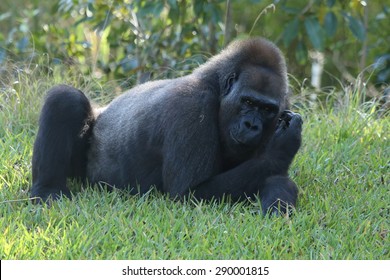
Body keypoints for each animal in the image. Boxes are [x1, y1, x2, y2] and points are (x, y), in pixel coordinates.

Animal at [32, 37, 304, 215]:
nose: (251, 125)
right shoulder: (191, 105)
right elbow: (188, 193)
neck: (216, 88)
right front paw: (282, 148)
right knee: (66, 99)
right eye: (247, 101)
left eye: (267, 110)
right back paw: (46, 190)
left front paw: (279, 190)